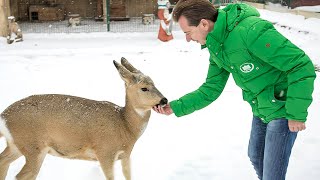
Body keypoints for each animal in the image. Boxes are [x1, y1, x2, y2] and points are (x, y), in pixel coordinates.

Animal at [0, 58, 169, 180]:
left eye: (155, 83)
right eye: (144, 88)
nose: (164, 100)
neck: (124, 126)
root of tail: (3, 116)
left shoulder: (125, 155)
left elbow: (129, 176)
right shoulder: (105, 152)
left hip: (17, 144)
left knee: (3, 161)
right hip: (33, 147)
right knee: (21, 175)